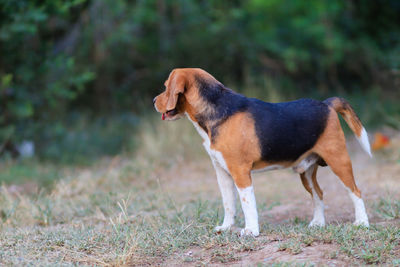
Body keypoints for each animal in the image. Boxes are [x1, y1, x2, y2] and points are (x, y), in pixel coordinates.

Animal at [154, 67, 372, 237]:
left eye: (166, 87)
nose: (154, 100)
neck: (218, 110)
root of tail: (326, 104)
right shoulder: (222, 173)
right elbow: (228, 204)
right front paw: (226, 227)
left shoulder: (241, 173)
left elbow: (247, 204)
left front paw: (251, 231)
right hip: (307, 173)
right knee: (318, 194)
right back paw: (318, 223)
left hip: (339, 161)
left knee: (356, 191)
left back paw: (362, 222)